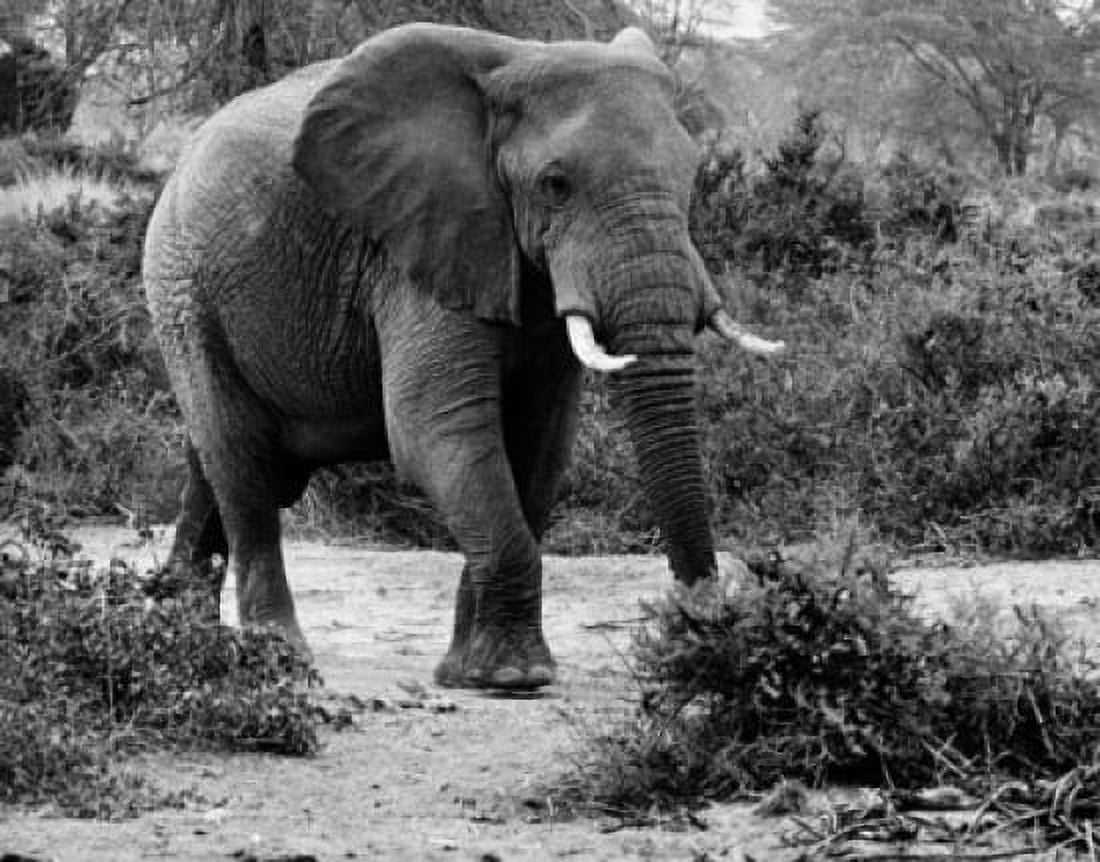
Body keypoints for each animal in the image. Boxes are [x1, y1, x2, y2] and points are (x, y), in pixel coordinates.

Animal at [143, 22, 783, 690]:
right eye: (555, 185)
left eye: (693, 176)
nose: (703, 618)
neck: (515, 64)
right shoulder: (418, 248)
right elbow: (435, 430)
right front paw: (514, 678)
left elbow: (540, 448)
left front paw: (472, 674)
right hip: (183, 291)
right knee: (240, 466)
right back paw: (278, 657)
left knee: (212, 466)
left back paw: (180, 634)